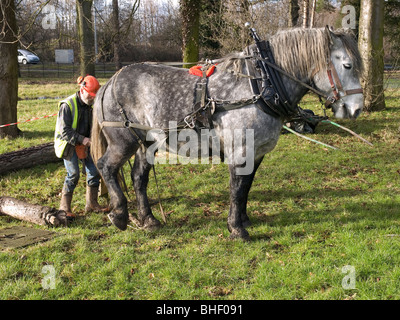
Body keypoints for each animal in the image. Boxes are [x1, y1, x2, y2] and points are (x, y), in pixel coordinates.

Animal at [92, 27, 364, 240]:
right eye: (347, 65)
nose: (356, 108)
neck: (260, 85)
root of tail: (111, 81)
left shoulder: (257, 152)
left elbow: (247, 187)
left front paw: (244, 219)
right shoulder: (240, 150)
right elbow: (236, 188)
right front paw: (236, 229)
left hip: (147, 142)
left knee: (139, 177)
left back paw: (148, 220)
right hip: (123, 141)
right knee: (106, 167)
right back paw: (119, 215)